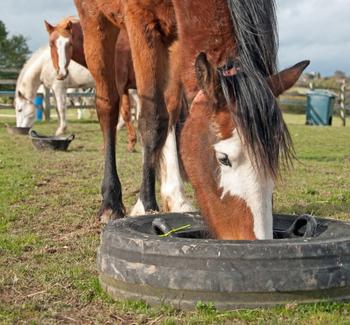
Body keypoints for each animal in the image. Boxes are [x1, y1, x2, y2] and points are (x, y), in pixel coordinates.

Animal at [45, 18, 139, 153]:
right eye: (51, 43)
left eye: (70, 44)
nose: (61, 73)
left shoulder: (120, 86)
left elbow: (125, 112)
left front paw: (131, 144)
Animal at [74, 0, 308, 238]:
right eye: (224, 159)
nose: (259, 239)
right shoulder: (140, 21)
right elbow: (152, 119)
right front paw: (145, 205)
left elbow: (170, 113)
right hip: (96, 21)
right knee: (108, 106)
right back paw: (111, 202)